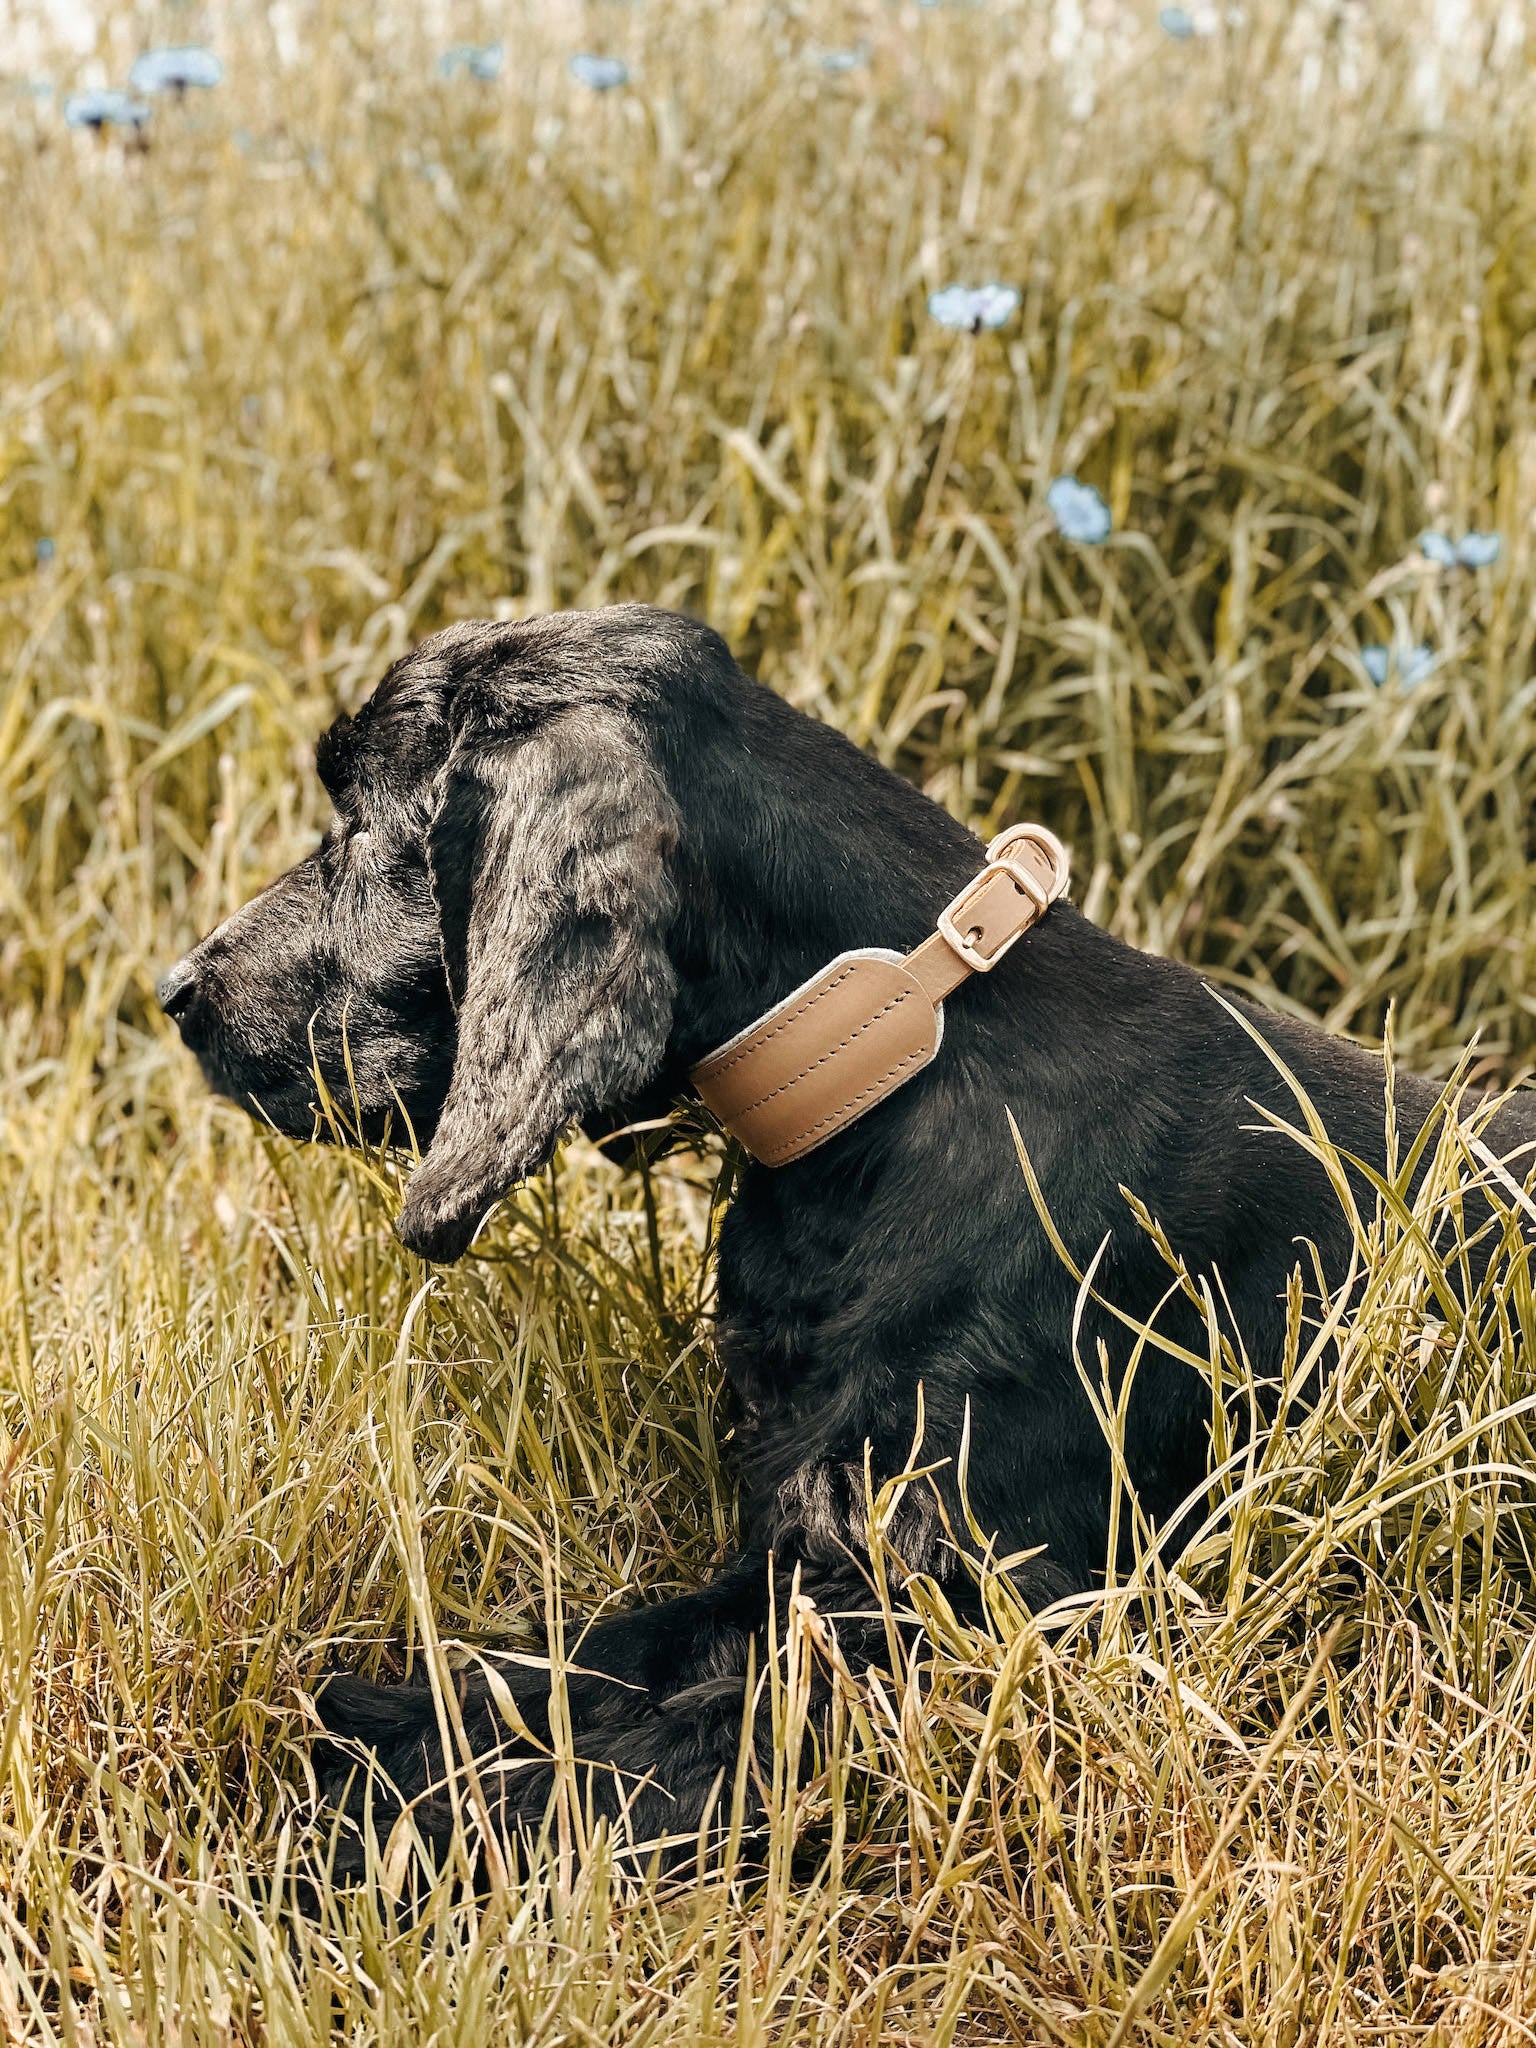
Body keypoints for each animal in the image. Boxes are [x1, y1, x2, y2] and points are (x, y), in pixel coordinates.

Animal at [162, 598, 1531, 1867]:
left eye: (361, 827)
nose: (177, 990)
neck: (897, 1062)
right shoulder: (792, 1554)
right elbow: (575, 1664)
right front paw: (375, 1730)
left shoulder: (946, 1620)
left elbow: (632, 1756)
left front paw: (354, 1843)